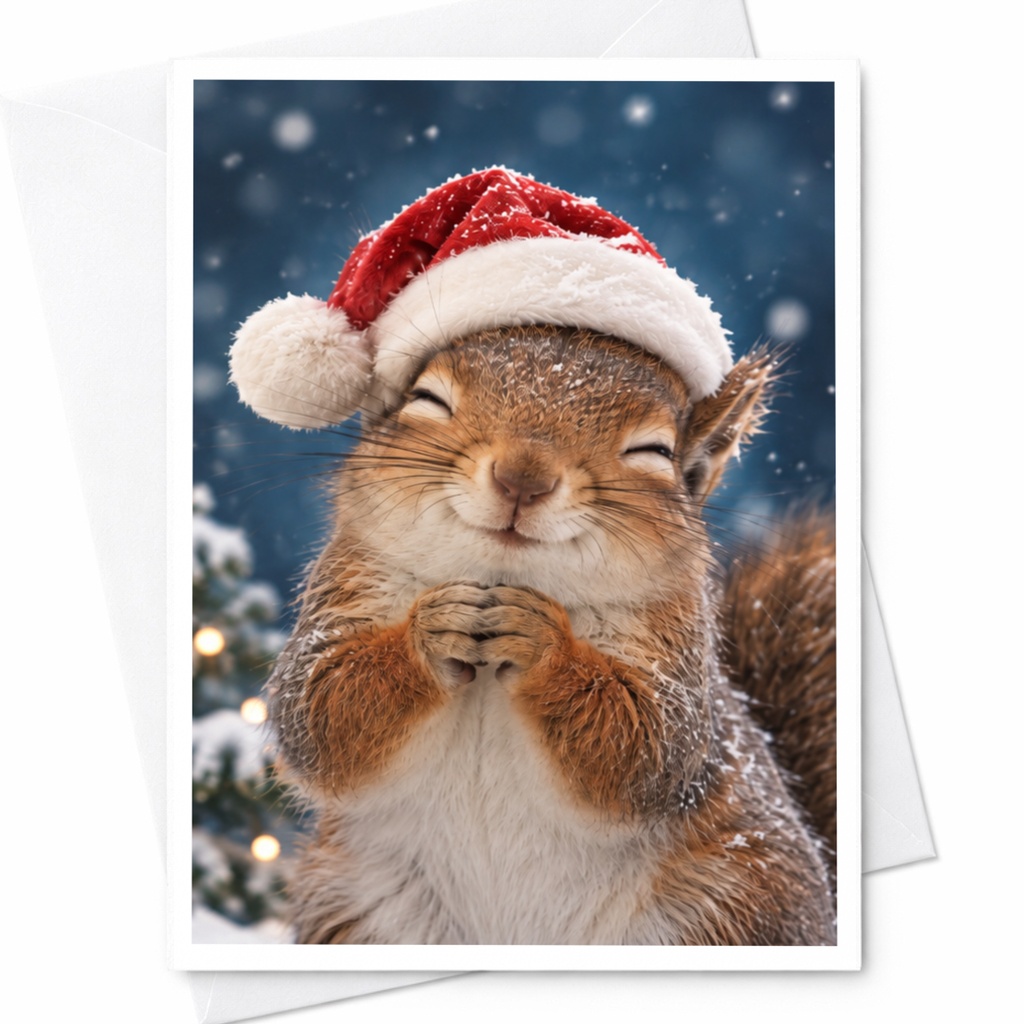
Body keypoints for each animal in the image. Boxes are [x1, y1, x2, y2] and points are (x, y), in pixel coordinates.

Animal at [230, 168, 837, 946]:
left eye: (654, 452)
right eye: (427, 398)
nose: (524, 476)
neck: (505, 576)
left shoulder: (679, 662)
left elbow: (646, 745)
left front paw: (543, 642)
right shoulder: (340, 596)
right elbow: (320, 710)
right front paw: (432, 629)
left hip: (732, 910)